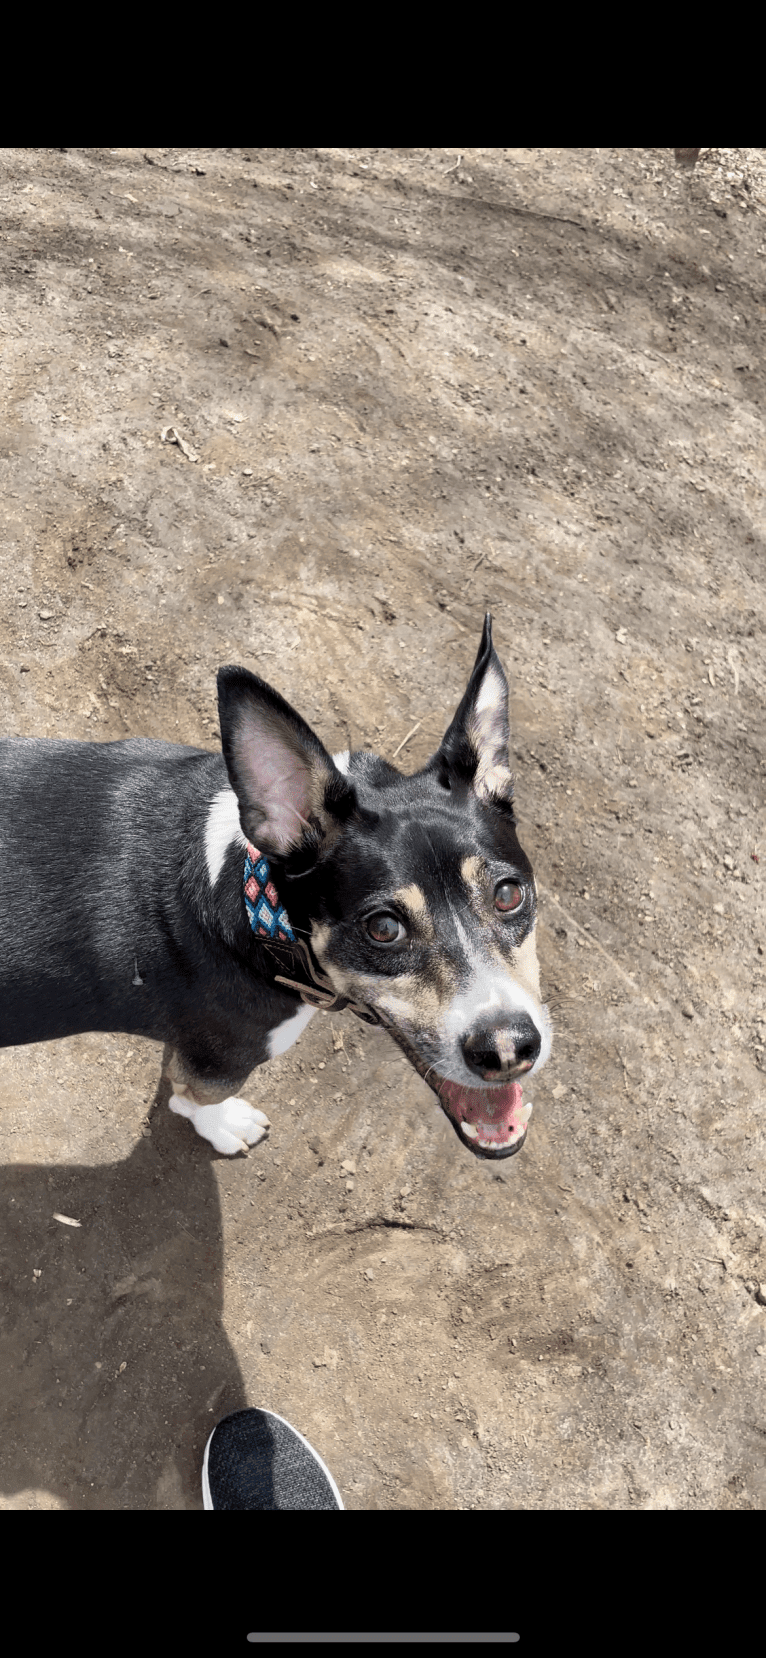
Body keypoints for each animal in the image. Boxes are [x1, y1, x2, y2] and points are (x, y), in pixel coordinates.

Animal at [0, 613, 550, 1167]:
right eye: (383, 928)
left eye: (508, 895)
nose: (507, 1049)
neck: (253, 898)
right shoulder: (215, 1063)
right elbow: (192, 1098)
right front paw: (224, 1125)